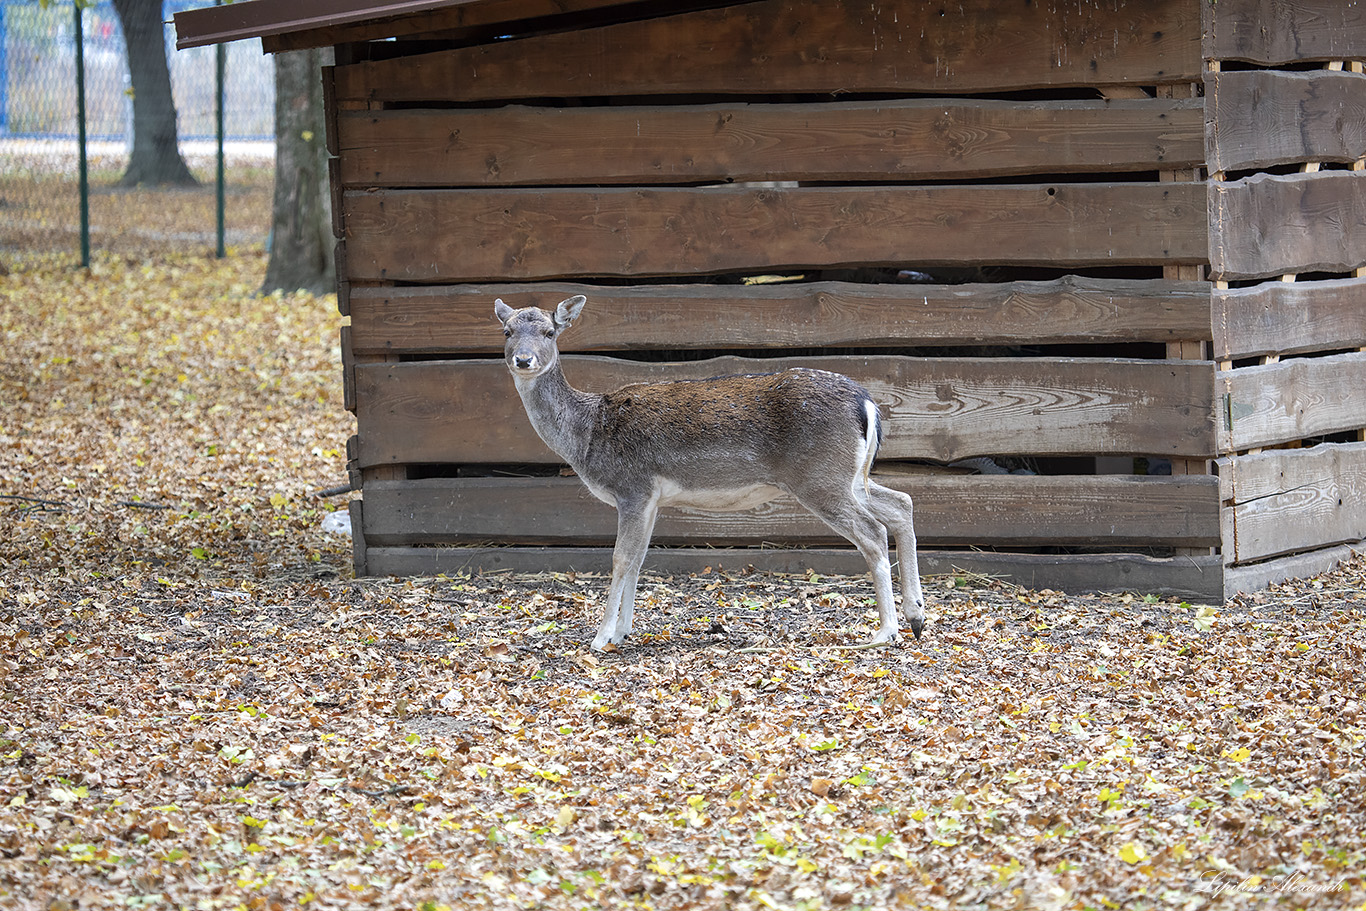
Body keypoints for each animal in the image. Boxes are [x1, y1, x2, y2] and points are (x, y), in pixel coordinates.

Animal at [494, 296, 928, 652]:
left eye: (550, 332)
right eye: (508, 331)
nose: (523, 360)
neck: (587, 436)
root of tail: (867, 403)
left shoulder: (633, 486)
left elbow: (620, 558)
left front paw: (601, 638)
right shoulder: (652, 499)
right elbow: (638, 559)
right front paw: (622, 632)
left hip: (820, 477)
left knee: (873, 531)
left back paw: (885, 630)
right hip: (850, 476)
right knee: (902, 503)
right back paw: (917, 617)